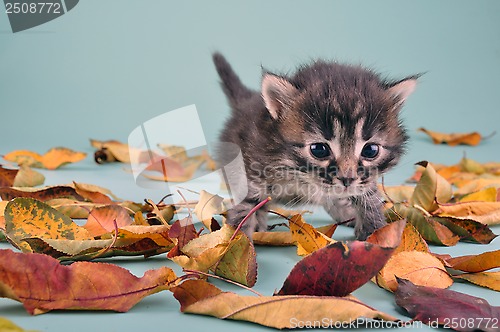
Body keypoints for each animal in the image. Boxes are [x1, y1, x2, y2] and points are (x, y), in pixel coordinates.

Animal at [213, 52, 416, 239]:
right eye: (319, 150)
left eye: (370, 150)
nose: (347, 179)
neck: (298, 175)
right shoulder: (251, 168)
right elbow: (245, 207)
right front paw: (237, 245)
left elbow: (369, 196)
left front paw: (376, 234)